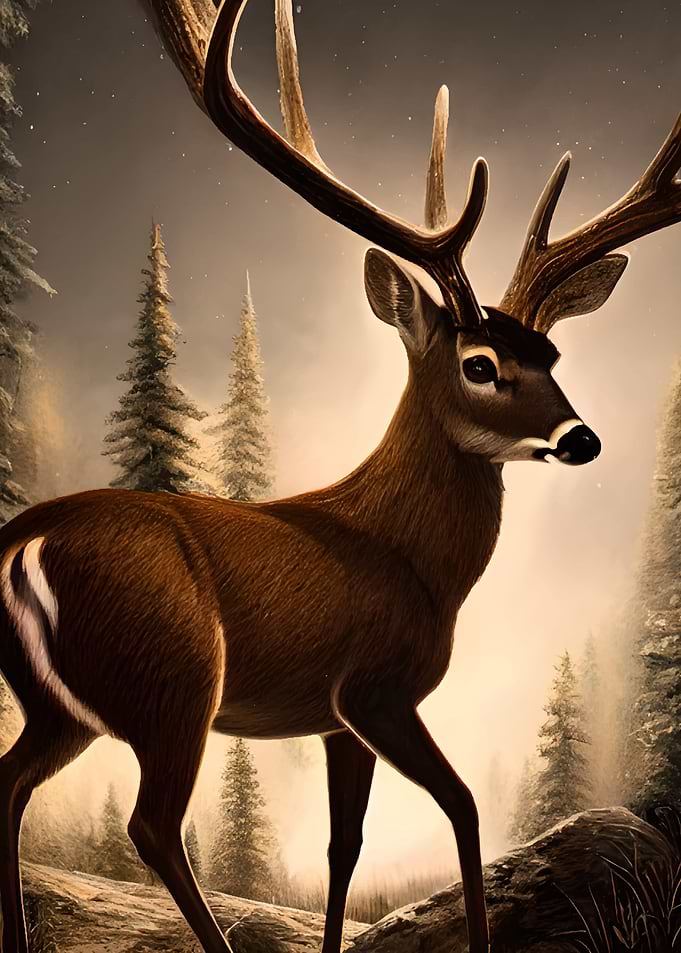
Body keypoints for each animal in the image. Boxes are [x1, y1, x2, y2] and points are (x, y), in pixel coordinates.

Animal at [1, 1, 680, 951]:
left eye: (550, 354)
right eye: (479, 364)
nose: (580, 438)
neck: (411, 561)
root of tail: (18, 543)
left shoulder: (333, 720)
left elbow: (344, 845)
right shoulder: (374, 688)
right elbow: (465, 807)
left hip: (60, 701)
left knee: (10, 784)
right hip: (172, 680)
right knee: (151, 823)